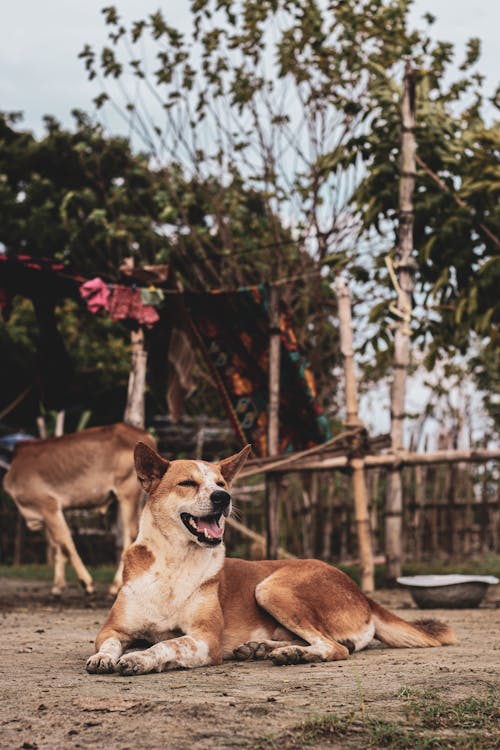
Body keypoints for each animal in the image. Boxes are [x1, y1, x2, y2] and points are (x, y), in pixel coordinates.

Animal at [3, 426, 154, 596]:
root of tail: (144, 435)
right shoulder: (46, 514)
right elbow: (57, 546)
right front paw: (58, 587)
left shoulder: (49, 506)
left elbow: (65, 542)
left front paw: (86, 583)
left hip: (127, 494)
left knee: (132, 534)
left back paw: (116, 585)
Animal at [87, 444, 458, 680]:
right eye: (187, 483)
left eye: (221, 483)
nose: (224, 497)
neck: (174, 562)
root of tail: (362, 593)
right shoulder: (113, 629)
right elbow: (108, 643)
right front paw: (104, 657)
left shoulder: (205, 639)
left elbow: (167, 643)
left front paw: (139, 657)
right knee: (329, 642)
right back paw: (264, 648)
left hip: (271, 587)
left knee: (336, 647)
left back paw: (292, 654)